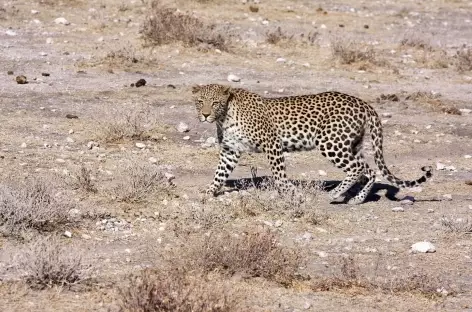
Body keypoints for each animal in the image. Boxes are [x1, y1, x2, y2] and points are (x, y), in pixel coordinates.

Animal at [191, 83, 432, 205]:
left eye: (215, 102)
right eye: (200, 101)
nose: (205, 115)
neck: (225, 116)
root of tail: (363, 103)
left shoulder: (272, 143)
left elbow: (279, 175)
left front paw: (291, 192)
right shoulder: (230, 150)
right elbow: (220, 173)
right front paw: (208, 192)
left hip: (331, 143)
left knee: (358, 169)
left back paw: (335, 195)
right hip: (351, 144)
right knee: (368, 170)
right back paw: (354, 198)